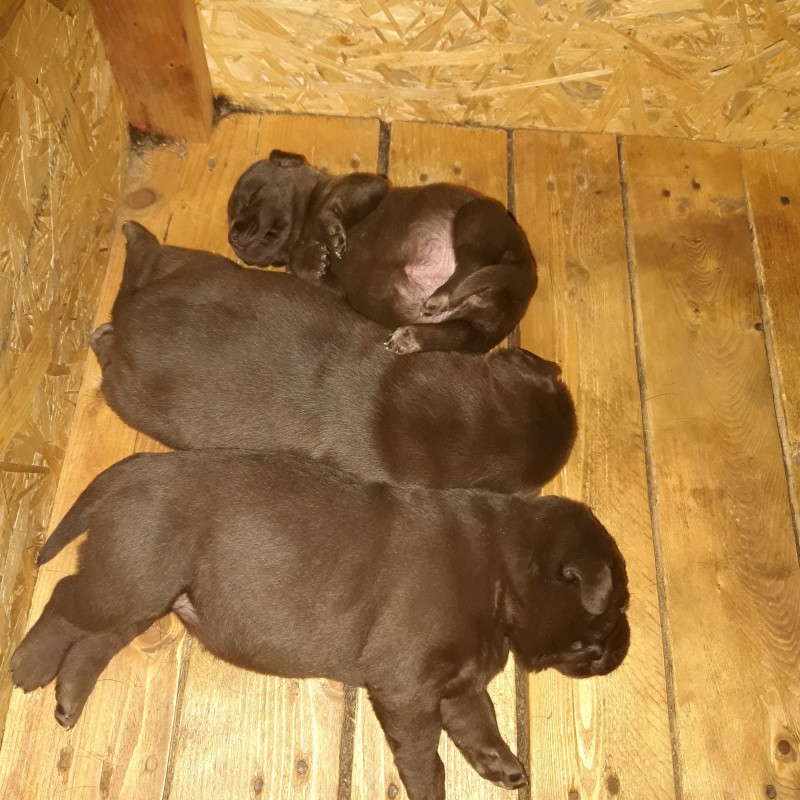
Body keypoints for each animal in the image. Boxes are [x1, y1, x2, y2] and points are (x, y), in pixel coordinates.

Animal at [11, 450, 630, 800]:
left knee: (95, 639)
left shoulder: (458, 686)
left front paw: (501, 766)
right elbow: (422, 751)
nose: (625, 643)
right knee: (66, 600)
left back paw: (68, 696)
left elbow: (479, 727)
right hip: (137, 574)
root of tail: (129, 471)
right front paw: (431, 788)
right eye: (617, 604)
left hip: (147, 588)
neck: (502, 573)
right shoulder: (407, 688)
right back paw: (29, 664)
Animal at [227, 150, 537, 354]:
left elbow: (330, 207)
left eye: (249, 199)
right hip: (477, 330)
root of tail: (526, 275)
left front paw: (331, 233)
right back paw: (410, 337)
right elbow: (305, 265)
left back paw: (440, 297)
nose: (232, 236)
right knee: (455, 333)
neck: (300, 232)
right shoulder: (337, 290)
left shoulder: (364, 185)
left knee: (471, 263)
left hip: (474, 219)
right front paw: (314, 258)